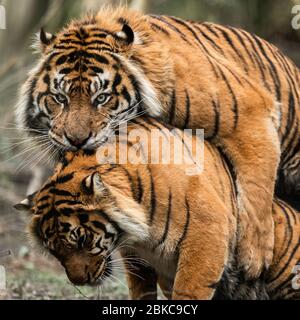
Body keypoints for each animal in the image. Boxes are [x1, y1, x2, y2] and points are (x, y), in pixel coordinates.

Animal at [14, 118, 300, 300]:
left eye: (82, 240)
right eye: (54, 250)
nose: (79, 282)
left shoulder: (207, 233)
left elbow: (189, 290)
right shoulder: (137, 257)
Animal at [15, 6, 300, 278]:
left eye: (102, 97)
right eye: (59, 98)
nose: (76, 140)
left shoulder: (251, 113)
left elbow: (256, 190)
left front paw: (254, 260)